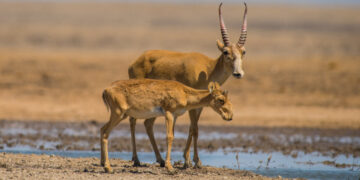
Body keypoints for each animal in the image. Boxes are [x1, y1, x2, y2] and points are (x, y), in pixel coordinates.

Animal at [100, 79, 232, 172]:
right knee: (106, 132)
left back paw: (103, 163)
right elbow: (169, 137)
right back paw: (108, 168)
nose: (230, 116)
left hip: (121, 115)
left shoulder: (175, 116)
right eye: (221, 99)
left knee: (102, 129)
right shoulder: (168, 113)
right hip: (118, 114)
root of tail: (106, 90)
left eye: (228, 98)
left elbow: (172, 135)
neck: (184, 93)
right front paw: (170, 167)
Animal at [126, 2, 248, 169]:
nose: (238, 73)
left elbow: (193, 128)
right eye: (225, 52)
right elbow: (194, 128)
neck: (207, 69)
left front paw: (189, 160)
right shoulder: (191, 104)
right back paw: (136, 159)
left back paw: (161, 160)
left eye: (243, 52)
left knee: (147, 124)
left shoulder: (199, 105)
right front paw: (193, 161)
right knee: (133, 121)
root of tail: (135, 62)